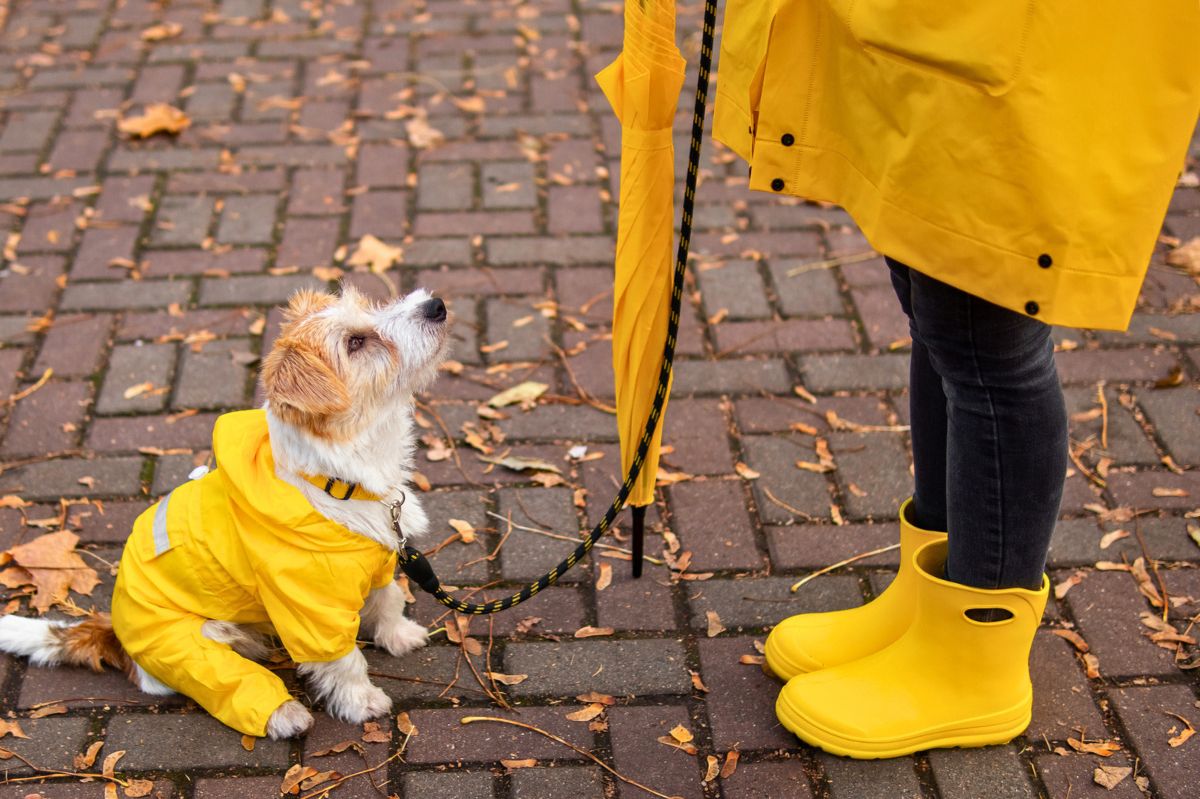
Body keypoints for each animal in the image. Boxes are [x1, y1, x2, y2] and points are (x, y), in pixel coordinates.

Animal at [0, 284, 451, 734]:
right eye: (355, 342)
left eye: (371, 306)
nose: (436, 305)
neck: (338, 480)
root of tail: (115, 633)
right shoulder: (310, 612)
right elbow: (344, 661)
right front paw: (361, 702)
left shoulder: (379, 565)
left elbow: (388, 602)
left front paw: (399, 636)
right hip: (194, 643)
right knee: (224, 678)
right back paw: (283, 714)